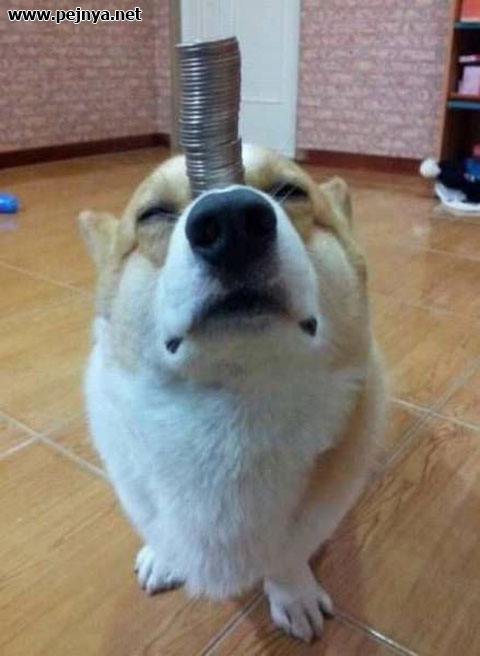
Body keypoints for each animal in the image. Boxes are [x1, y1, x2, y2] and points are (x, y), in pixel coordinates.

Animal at [79, 144, 387, 643]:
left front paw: (293, 595)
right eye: (154, 213)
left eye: (289, 191)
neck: (232, 405)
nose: (230, 223)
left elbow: (287, 557)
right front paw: (164, 557)